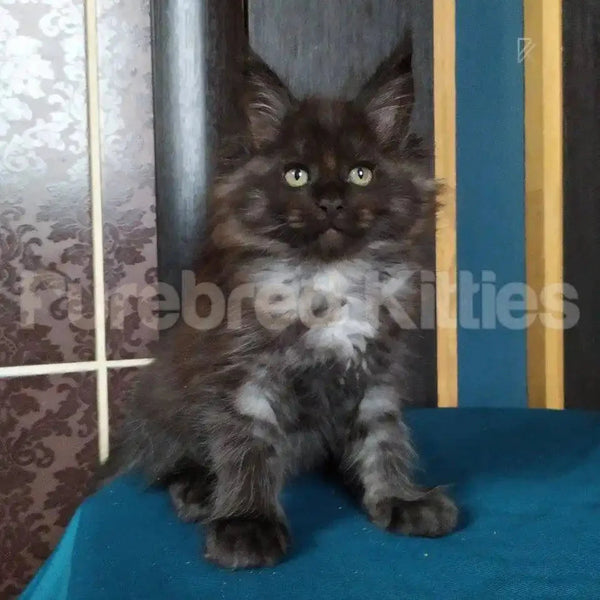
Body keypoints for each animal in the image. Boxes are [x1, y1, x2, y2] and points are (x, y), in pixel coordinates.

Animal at [110, 47, 458, 568]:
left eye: (361, 173)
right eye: (297, 175)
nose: (330, 201)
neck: (327, 277)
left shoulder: (376, 373)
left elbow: (383, 439)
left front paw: (399, 498)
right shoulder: (244, 375)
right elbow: (248, 445)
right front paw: (247, 524)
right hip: (165, 402)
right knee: (167, 460)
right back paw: (199, 490)